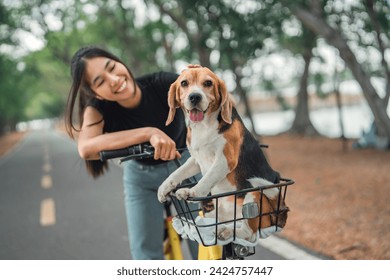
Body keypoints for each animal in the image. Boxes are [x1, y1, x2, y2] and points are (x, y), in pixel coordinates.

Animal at [157, 64, 288, 242]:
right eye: (184, 83)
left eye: (208, 83)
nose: (195, 97)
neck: (203, 126)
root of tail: (279, 213)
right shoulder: (195, 159)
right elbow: (177, 173)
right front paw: (164, 188)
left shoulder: (225, 159)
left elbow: (206, 179)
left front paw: (192, 192)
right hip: (215, 213)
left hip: (254, 196)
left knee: (249, 233)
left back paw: (227, 231)